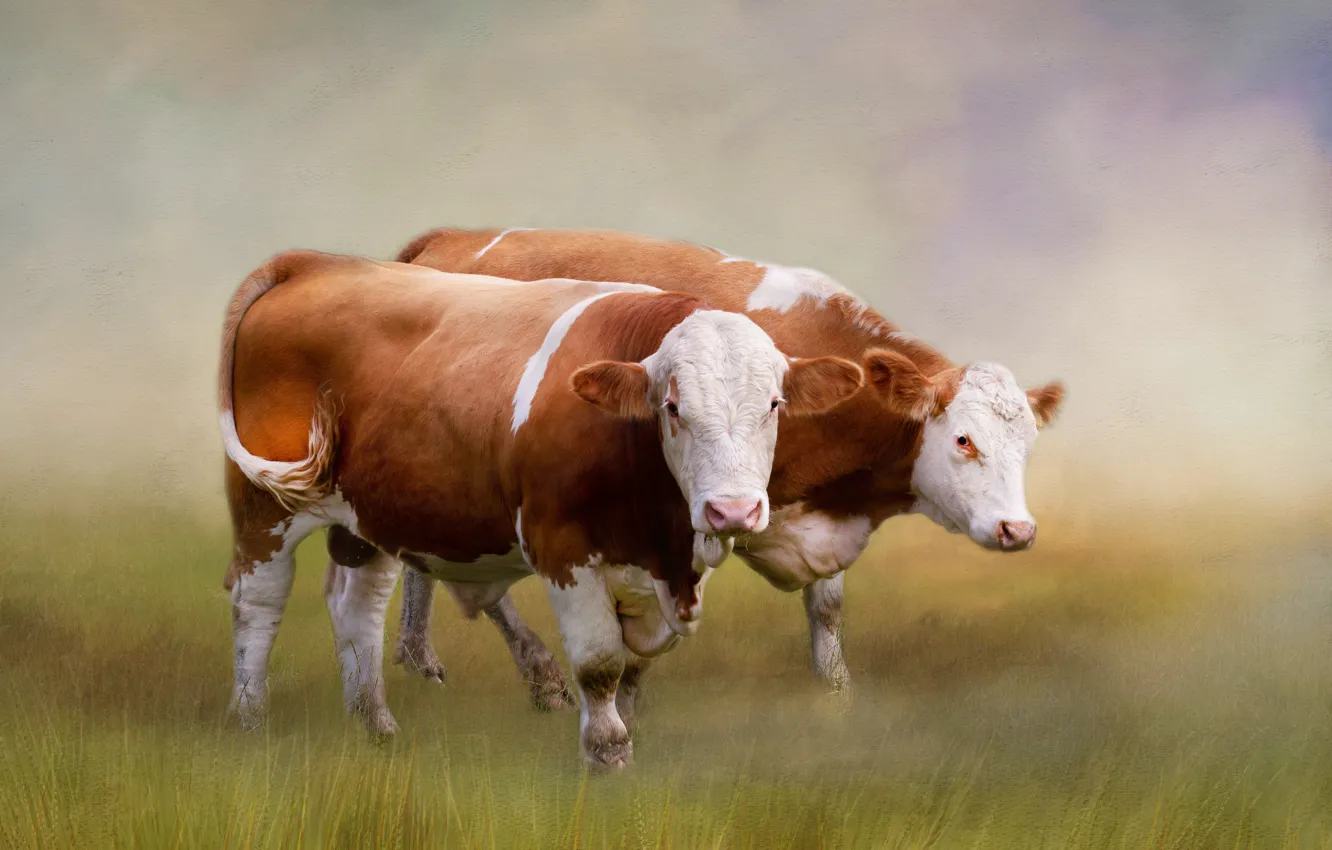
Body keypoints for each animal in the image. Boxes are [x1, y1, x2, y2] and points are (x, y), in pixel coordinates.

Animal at [217, 249, 865, 768]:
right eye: (673, 407)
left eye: (775, 404)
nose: (733, 511)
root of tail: (317, 262)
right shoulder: (562, 546)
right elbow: (600, 663)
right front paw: (606, 755)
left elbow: (637, 664)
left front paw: (627, 735)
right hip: (264, 505)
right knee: (259, 601)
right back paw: (249, 721)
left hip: (369, 512)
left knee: (359, 606)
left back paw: (376, 727)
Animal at [388, 227, 1066, 708]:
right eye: (963, 440)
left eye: (1027, 447)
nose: (1018, 530)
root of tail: (450, 237)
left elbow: (826, 608)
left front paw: (837, 695)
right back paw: (538, 675)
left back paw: (419, 656)